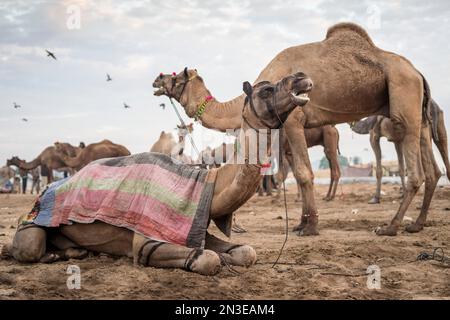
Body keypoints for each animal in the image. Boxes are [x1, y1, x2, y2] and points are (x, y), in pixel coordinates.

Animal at [1, 72, 314, 276]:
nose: (301, 77)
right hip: (31, 228)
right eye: (266, 90)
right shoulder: (147, 240)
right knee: (28, 248)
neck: (206, 185)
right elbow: (209, 259)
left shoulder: (196, 227)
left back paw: (74, 252)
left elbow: (247, 251)